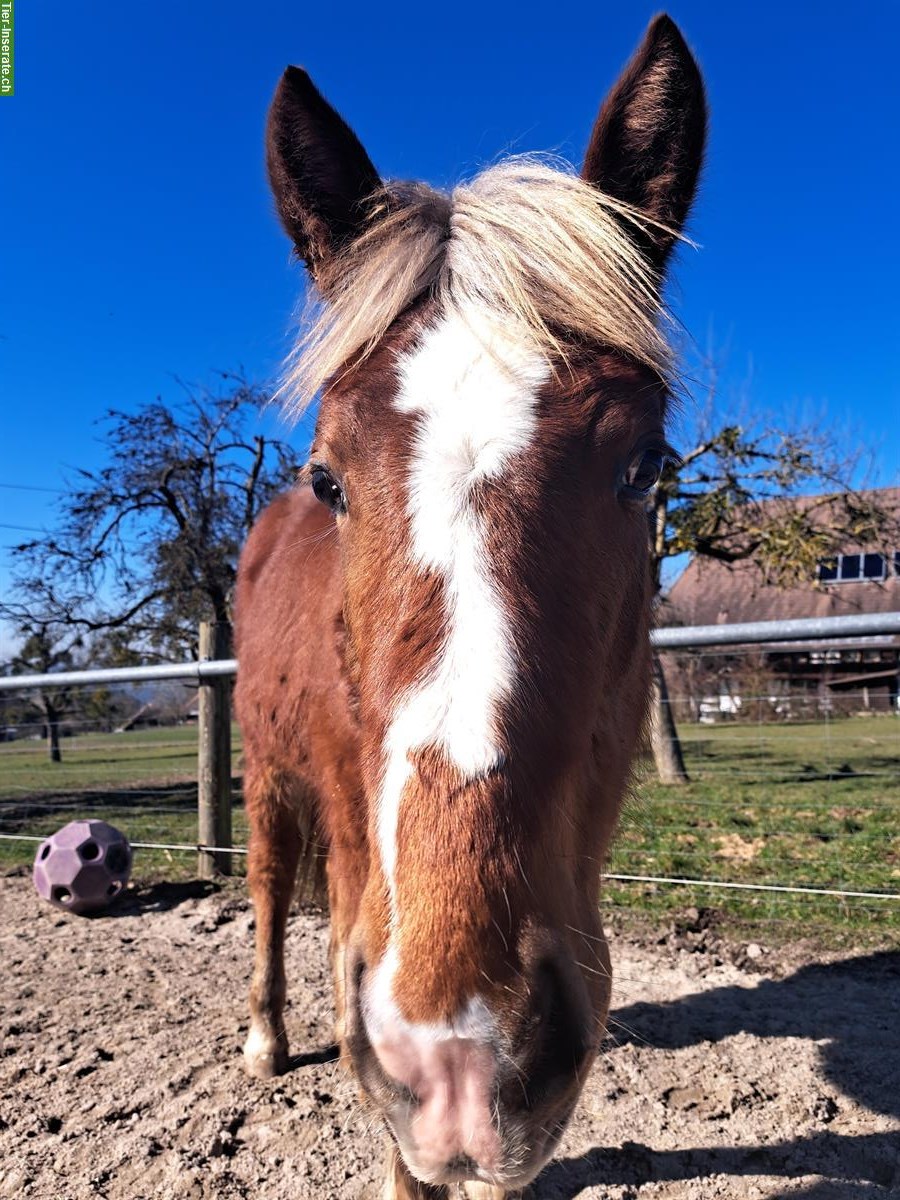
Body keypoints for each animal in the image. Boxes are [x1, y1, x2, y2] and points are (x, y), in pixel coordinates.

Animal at [236, 18, 710, 1200]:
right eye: (329, 477)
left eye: (649, 468)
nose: (452, 1050)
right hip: (269, 778)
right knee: (266, 887)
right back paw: (266, 1037)